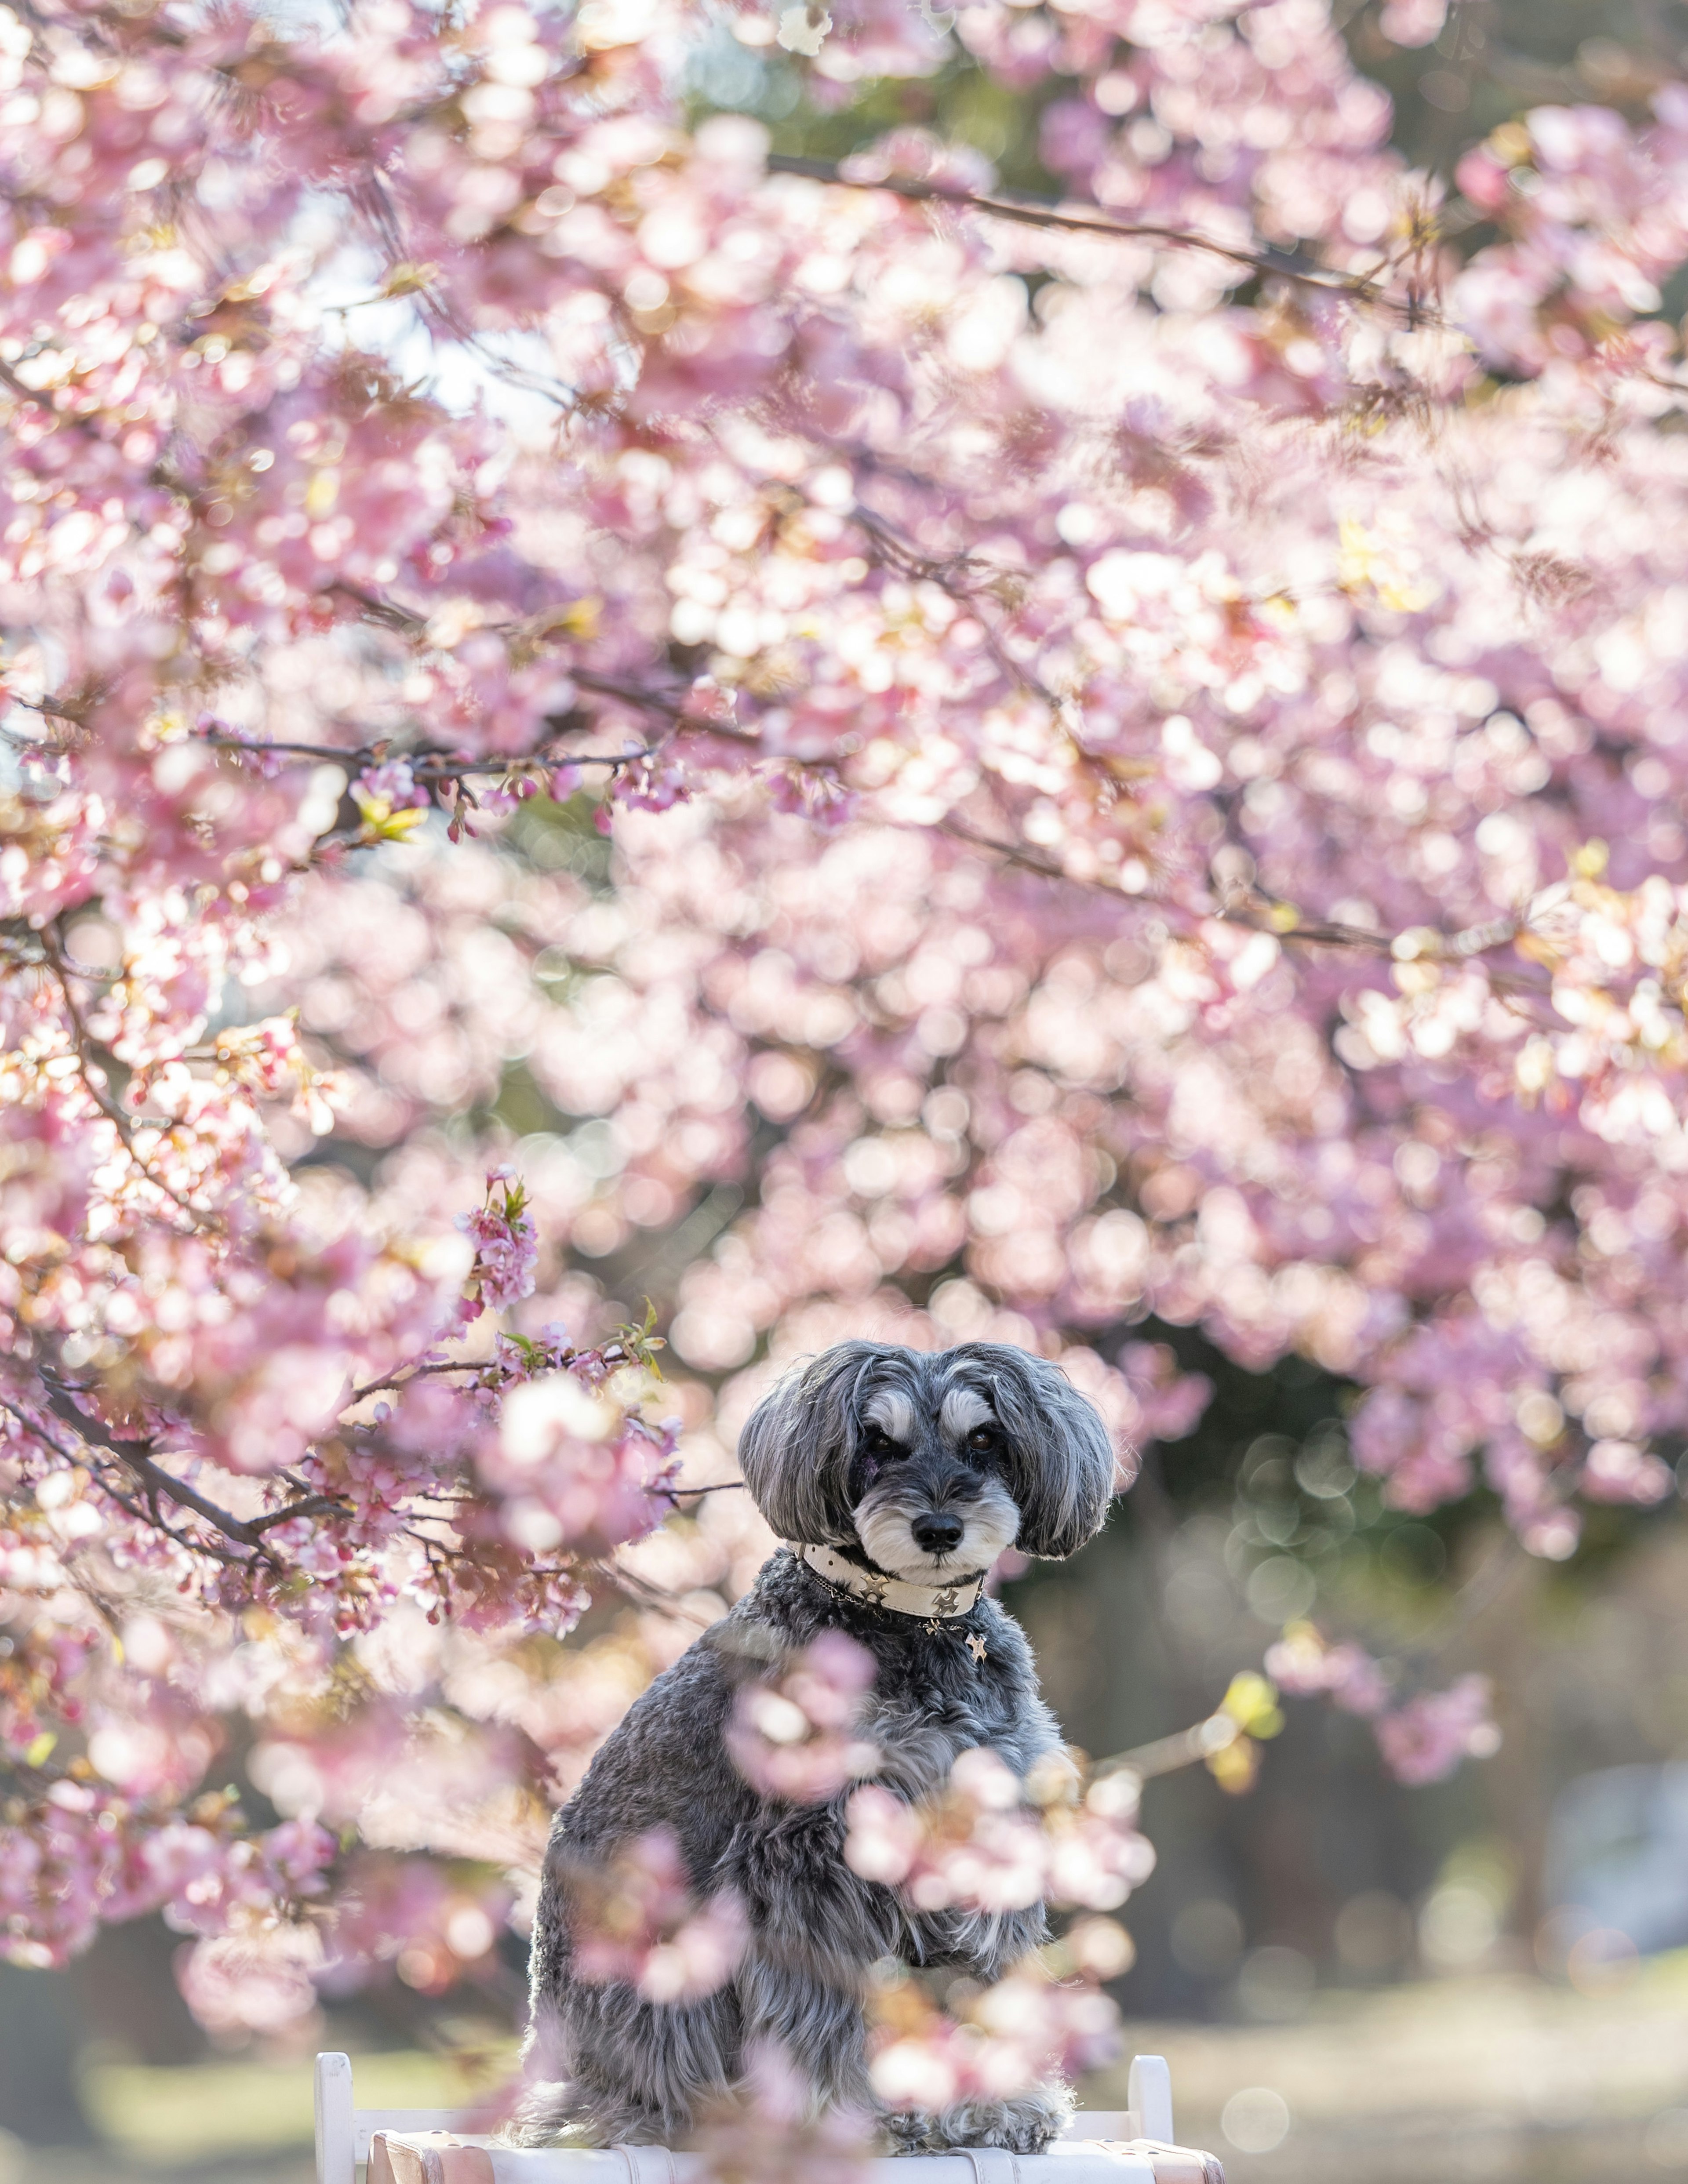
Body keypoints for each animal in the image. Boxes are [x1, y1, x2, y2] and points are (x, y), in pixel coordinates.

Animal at [513, 1337, 1118, 2158]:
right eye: (878, 1442)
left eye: (986, 1437)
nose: (938, 1527)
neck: (912, 1624)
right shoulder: (809, 1863)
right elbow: (818, 2010)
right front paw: (836, 2119)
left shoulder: (984, 1838)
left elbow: (992, 1986)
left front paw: (1003, 2106)